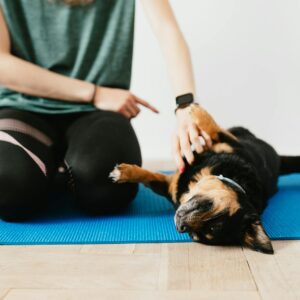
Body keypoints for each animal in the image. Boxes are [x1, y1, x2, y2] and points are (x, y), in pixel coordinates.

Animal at [109, 104, 300, 254]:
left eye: (195, 235)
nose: (181, 226)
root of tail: (278, 160)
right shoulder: (234, 145)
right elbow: (149, 176)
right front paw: (125, 172)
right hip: (238, 132)